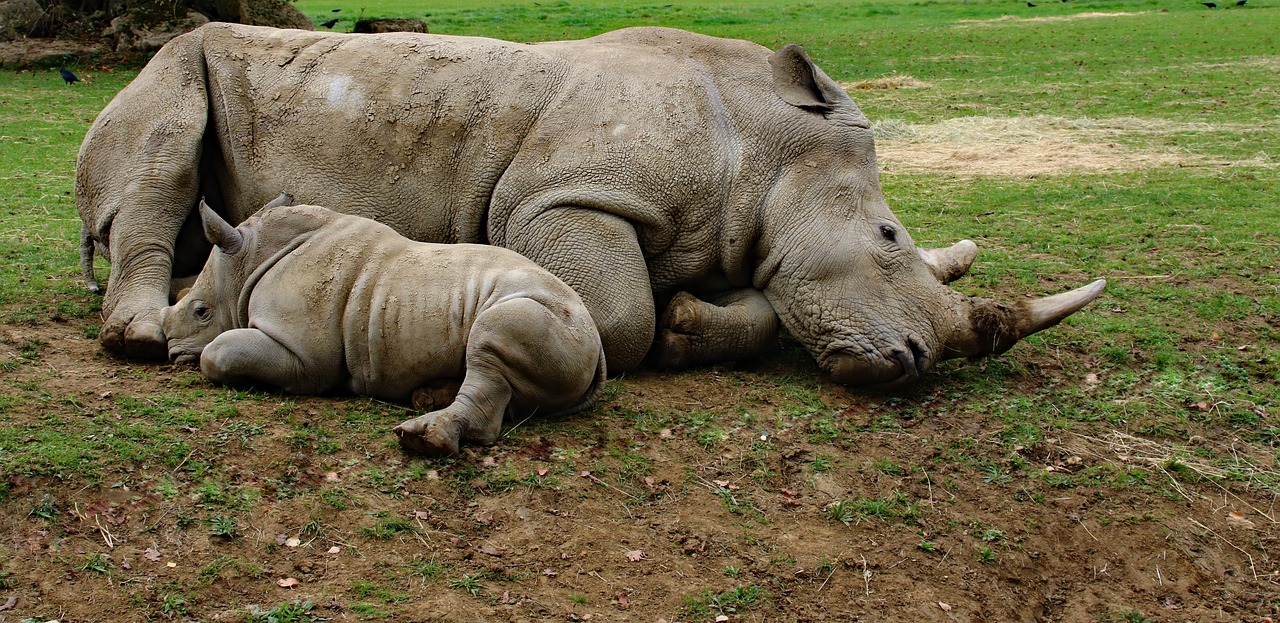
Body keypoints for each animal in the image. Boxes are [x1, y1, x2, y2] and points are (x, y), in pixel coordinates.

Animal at [74, 23, 1105, 386]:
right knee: (160, 154)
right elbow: (619, 316)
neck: (762, 140)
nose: (913, 363)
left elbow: (750, 306)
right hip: (171, 67)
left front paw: (693, 326)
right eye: (889, 235)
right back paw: (139, 335)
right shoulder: (559, 199)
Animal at [163, 197, 604, 455]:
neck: (251, 259)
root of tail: (597, 342)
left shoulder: (306, 357)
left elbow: (218, 351)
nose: (169, 350)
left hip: (549, 316)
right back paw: (427, 398)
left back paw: (420, 438)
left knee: (492, 338)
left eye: (201, 312)